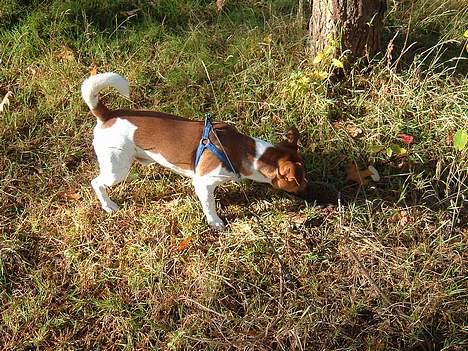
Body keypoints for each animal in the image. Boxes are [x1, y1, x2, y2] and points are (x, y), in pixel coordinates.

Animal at [80, 72, 308, 231]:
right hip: (114, 168)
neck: (244, 150)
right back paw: (108, 205)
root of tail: (106, 115)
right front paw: (215, 222)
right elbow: (209, 205)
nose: (308, 187)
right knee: (97, 183)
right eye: (298, 179)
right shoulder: (203, 182)